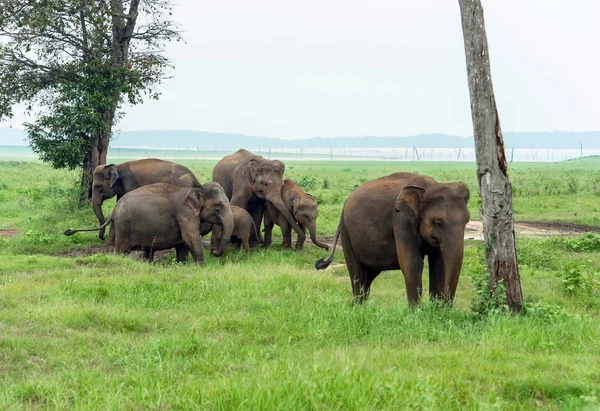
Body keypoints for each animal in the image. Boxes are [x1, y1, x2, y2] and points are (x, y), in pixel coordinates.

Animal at [64, 183, 233, 264]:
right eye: (218, 206)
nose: (214, 251)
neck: (195, 189)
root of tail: (114, 209)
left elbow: (183, 245)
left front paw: (182, 265)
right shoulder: (185, 214)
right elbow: (191, 239)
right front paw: (201, 266)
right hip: (124, 226)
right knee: (121, 250)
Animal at [314, 172, 468, 308]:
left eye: (466, 222)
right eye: (438, 223)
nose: (446, 307)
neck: (429, 186)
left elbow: (439, 265)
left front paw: (435, 312)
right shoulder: (401, 220)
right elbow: (411, 264)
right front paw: (417, 313)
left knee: (368, 276)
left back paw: (359, 307)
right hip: (346, 232)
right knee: (356, 272)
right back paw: (357, 307)